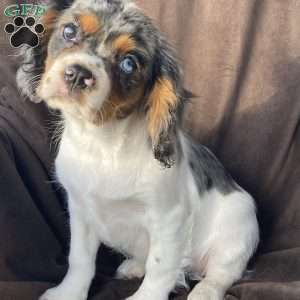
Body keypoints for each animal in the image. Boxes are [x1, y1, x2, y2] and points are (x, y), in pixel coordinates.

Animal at [17, 0, 258, 300]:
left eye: (129, 63)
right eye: (69, 31)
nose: (78, 74)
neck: (103, 144)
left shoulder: (169, 217)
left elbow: (160, 267)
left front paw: (146, 296)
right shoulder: (80, 209)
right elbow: (80, 260)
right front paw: (68, 293)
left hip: (237, 233)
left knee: (221, 273)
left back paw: (205, 291)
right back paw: (133, 266)